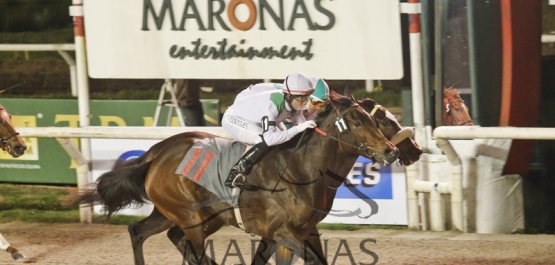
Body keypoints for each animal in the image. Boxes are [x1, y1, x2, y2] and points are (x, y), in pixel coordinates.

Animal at [78, 89, 408, 262]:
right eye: (358, 122)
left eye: (375, 121)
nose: (392, 151)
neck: (303, 170)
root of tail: (158, 152)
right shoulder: (284, 233)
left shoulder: (302, 231)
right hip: (191, 218)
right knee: (188, 246)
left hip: (182, 213)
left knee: (141, 232)